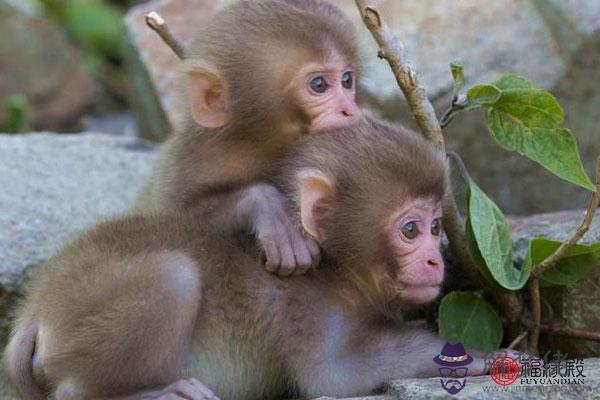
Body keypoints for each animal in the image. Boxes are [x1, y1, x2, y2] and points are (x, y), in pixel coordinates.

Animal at [4, 116, 488, 400]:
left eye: (436, 227)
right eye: (410, 230)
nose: (436, 261)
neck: (335, 271)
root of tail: (38, 307)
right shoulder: (308, 309)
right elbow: (331, 377)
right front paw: (480, 355)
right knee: (174, 276)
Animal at [135, 0, 360, 276]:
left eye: (347, 80)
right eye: (318, 85)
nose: (350, 109)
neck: (260, 145)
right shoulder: (192, 162)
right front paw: (270, 209)